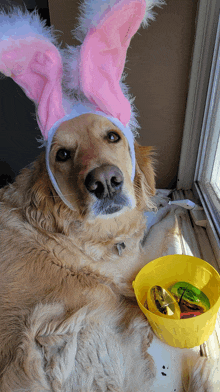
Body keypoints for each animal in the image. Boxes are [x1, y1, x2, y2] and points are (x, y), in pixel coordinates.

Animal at [0, 113, 218, 392]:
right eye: (62, 154)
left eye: (113, 136)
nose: (105, 182)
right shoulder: (133, 266)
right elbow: (158, 224)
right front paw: (179, 206)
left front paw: (159, 198)